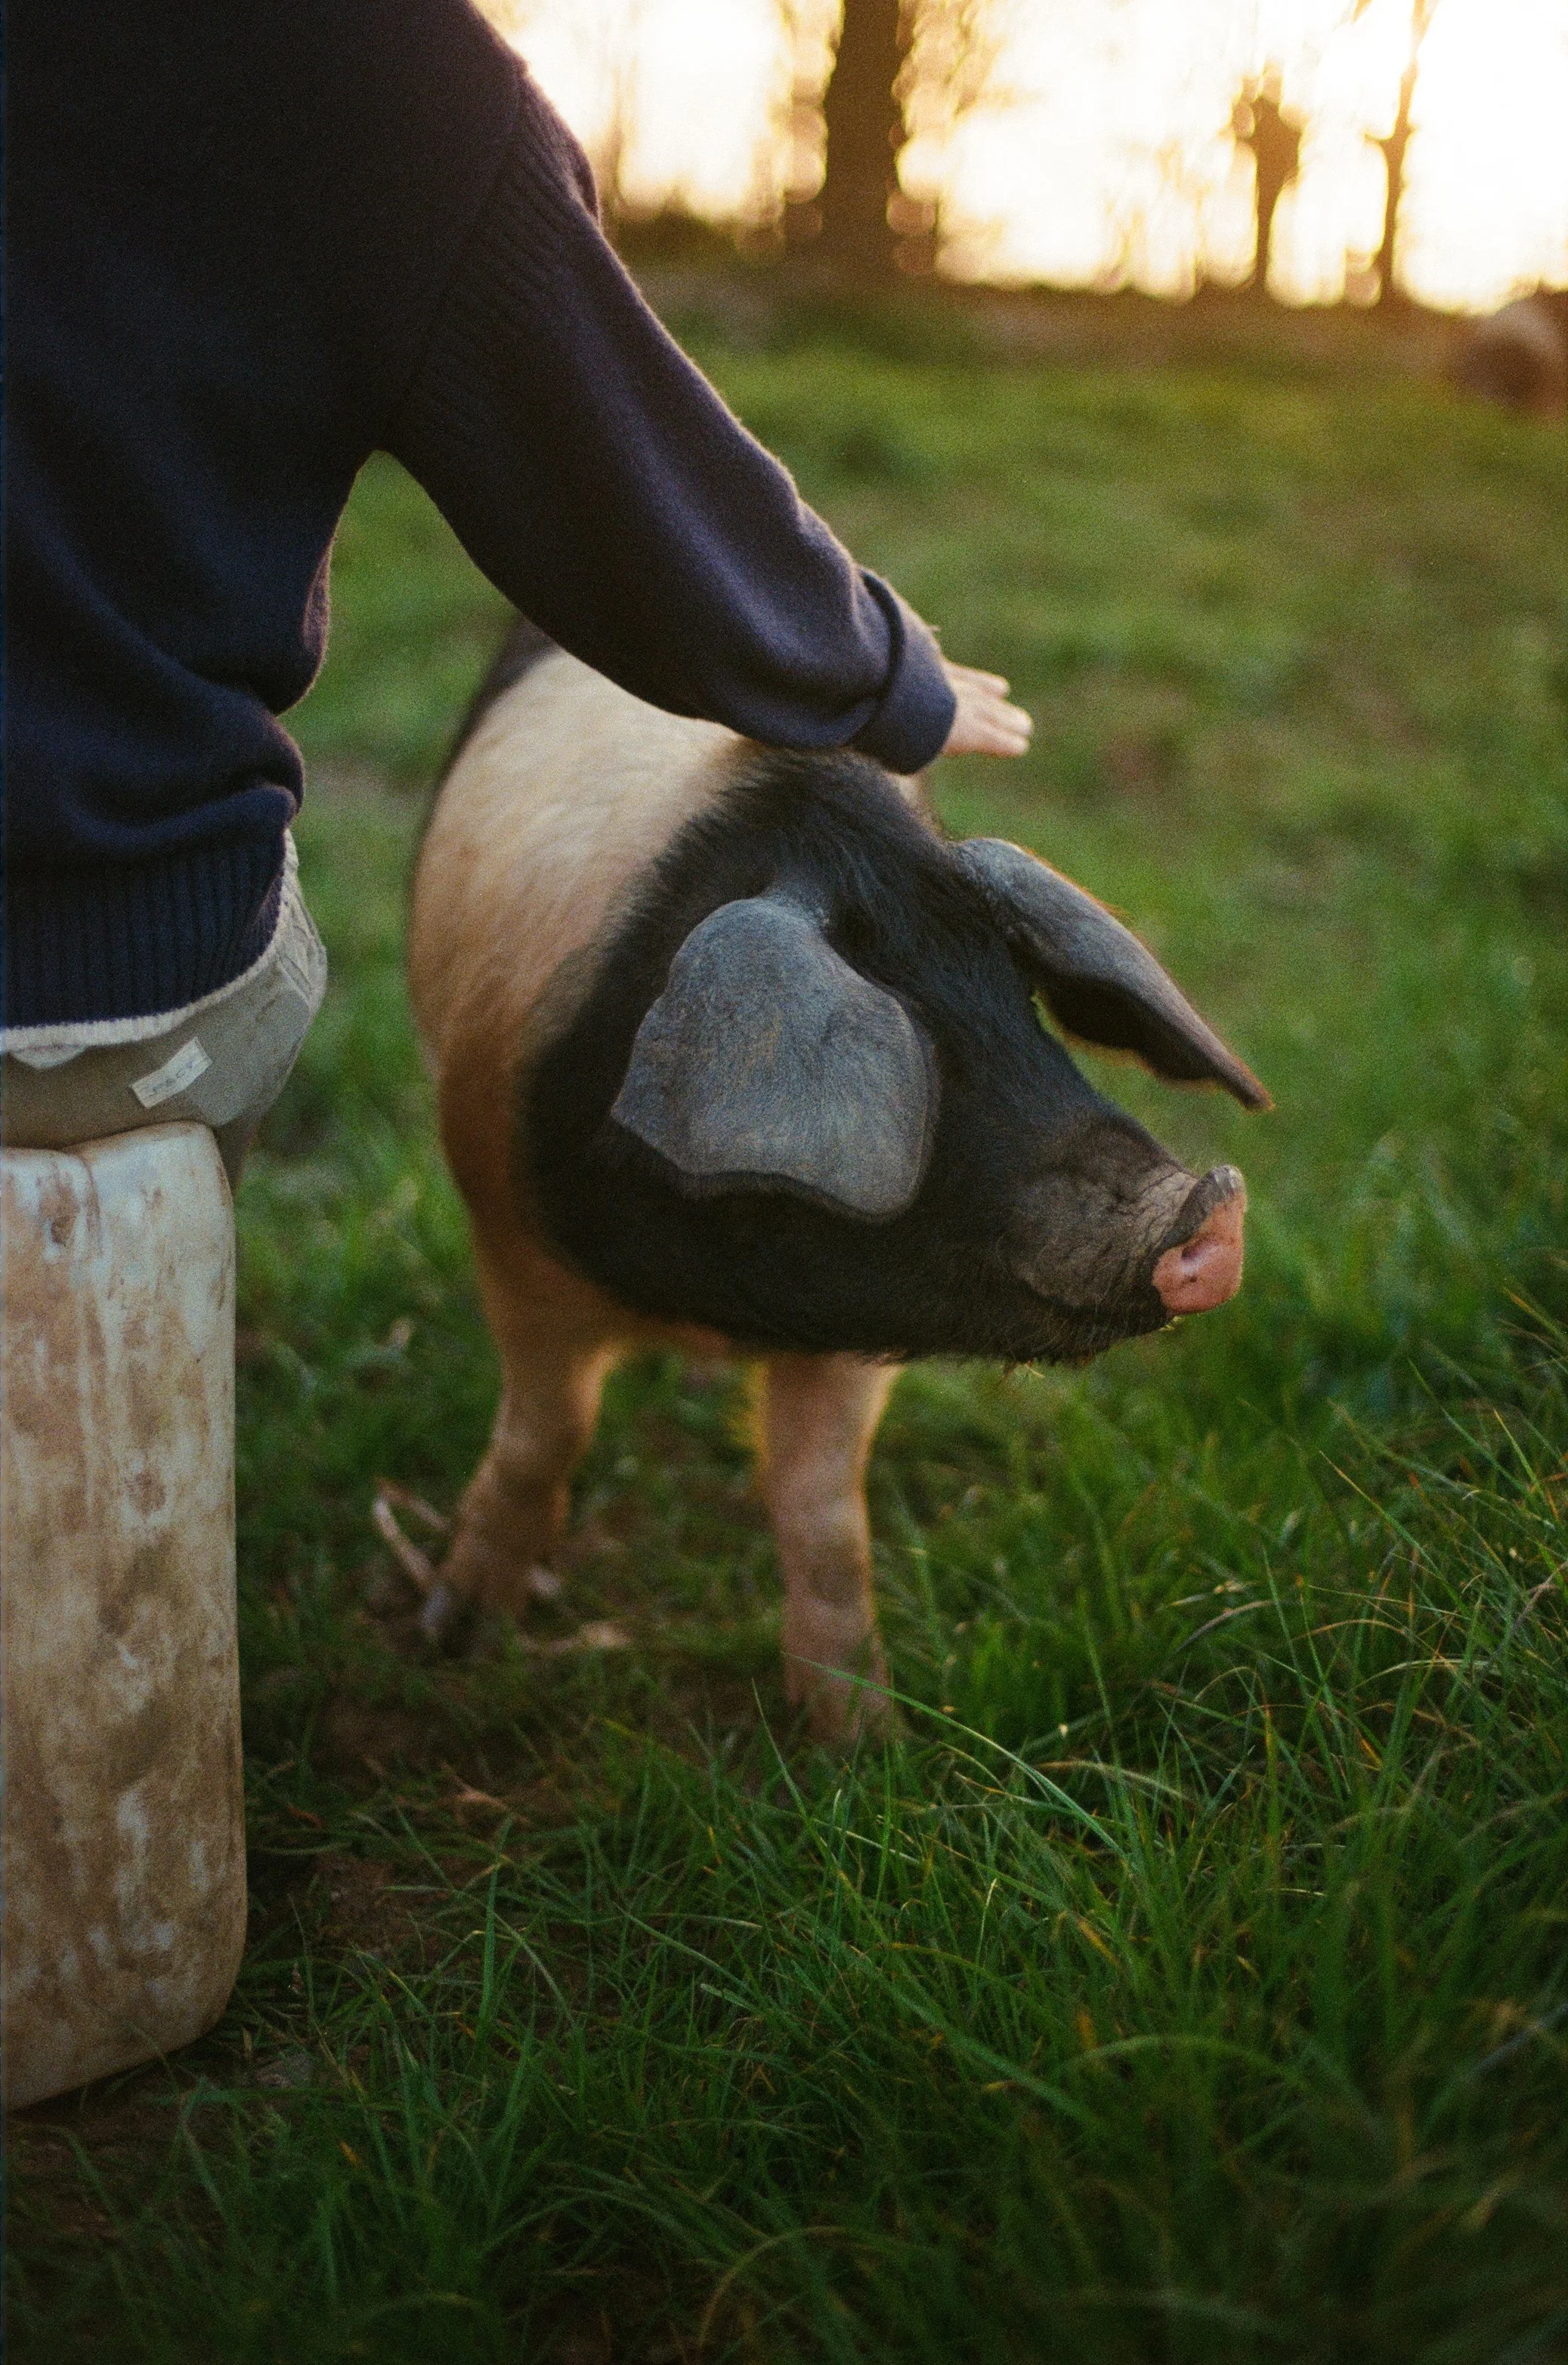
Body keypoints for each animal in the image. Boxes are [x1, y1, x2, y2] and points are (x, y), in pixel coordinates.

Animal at [408, 619, 1268, 1741]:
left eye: (1024, 1012)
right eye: (930, 1056)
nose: (1214, 1210)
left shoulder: (866, 1319)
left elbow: (820, 1508)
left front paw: (864, 1738)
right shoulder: (510, 1231)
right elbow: (548, 1431)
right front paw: (454, 1635)